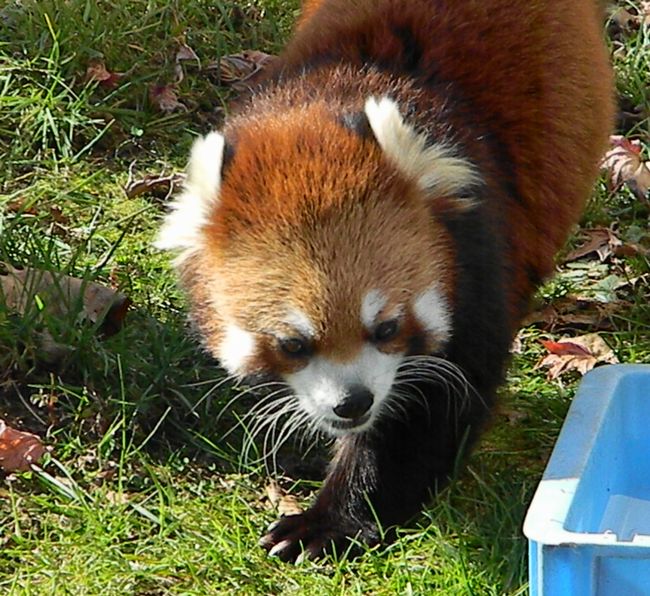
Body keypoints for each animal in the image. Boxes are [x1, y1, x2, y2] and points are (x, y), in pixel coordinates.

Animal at [157, 0, 612, 560]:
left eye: (387, 328)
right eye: (292, 344)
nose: (352, 403)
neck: (326, 99)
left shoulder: (477, 260)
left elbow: (424, 414)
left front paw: (330, 522)